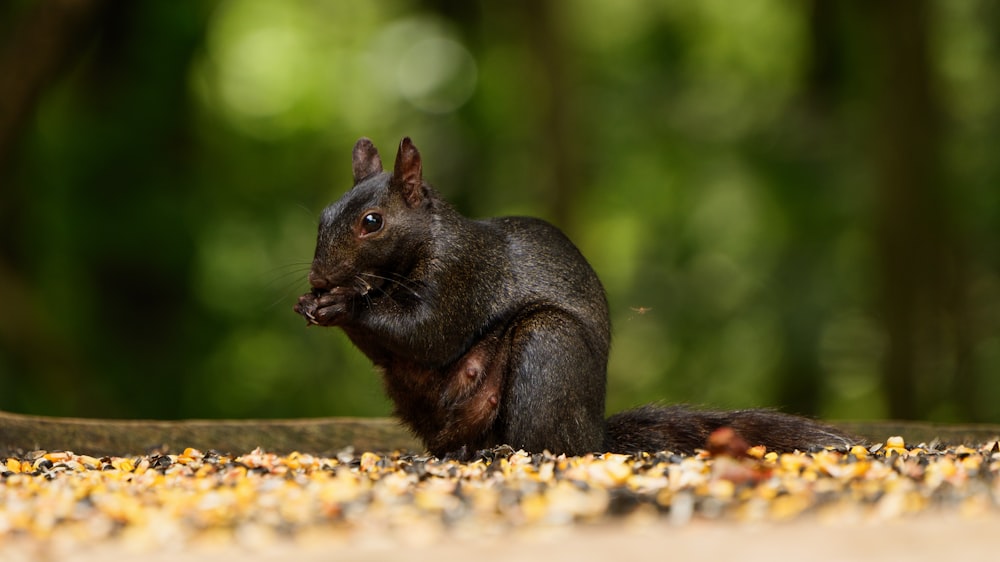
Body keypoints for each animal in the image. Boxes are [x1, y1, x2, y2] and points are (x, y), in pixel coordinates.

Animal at [292, 138, 860, 458]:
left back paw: (506, 451)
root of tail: (593, 435)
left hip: (549, 347)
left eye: (372, 222)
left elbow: (427, 333)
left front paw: (343, 304)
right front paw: (312, 303)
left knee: (550, 444)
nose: (319, 278)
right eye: (322, 215)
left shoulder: (462, 276)